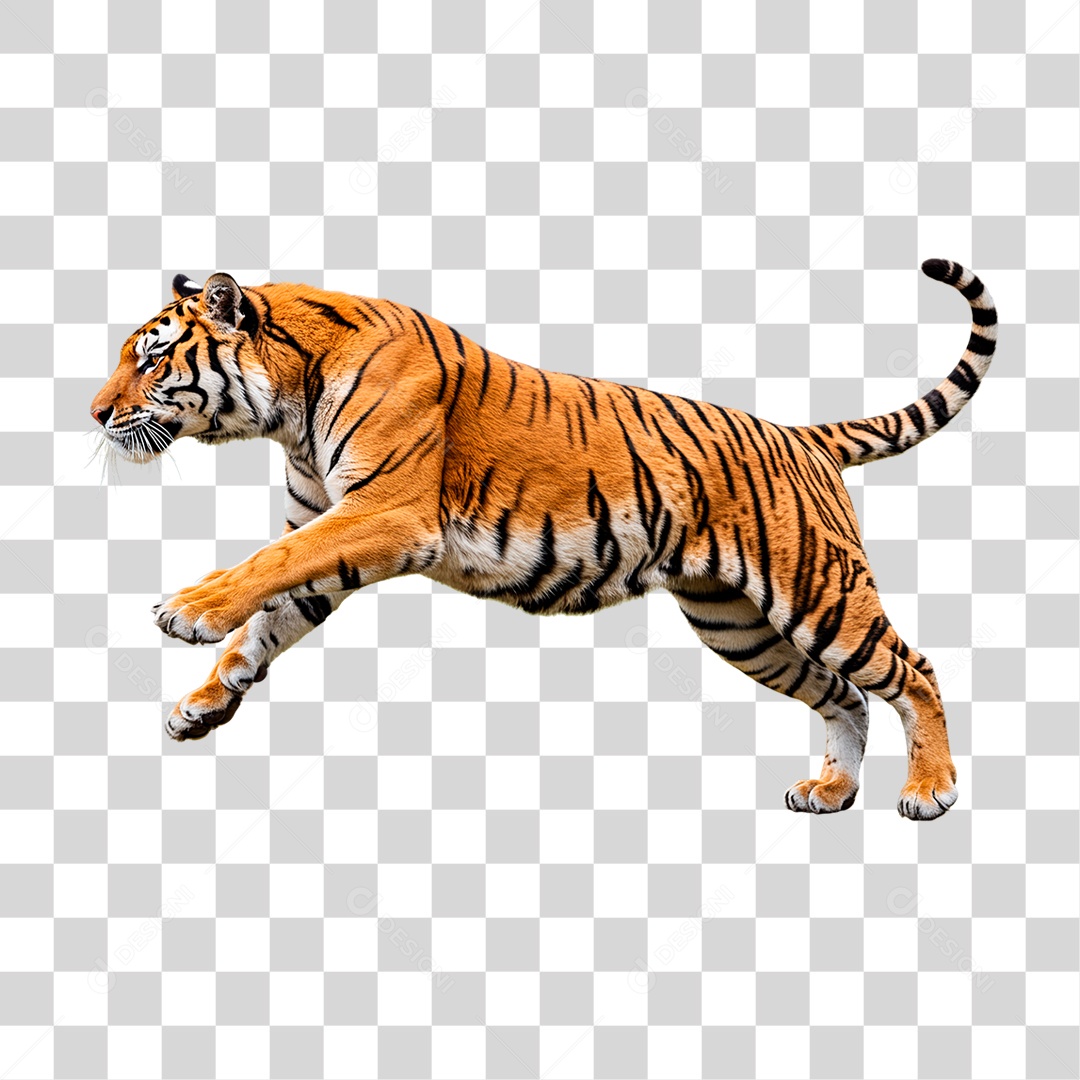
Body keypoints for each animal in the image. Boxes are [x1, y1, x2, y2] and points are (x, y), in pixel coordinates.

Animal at [90, 258, 995, 820]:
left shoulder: (388, 512)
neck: (287, 409)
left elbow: (265, 564)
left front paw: (188, 610)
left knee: (912, 671)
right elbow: (267, 621)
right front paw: (204, 704)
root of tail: (801, 435)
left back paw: (931, 791)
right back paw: (832, 793)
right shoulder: (332, 527)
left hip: (815, 588)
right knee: (843, 694)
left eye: (152, 359)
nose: (95, 413)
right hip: (734, 622)